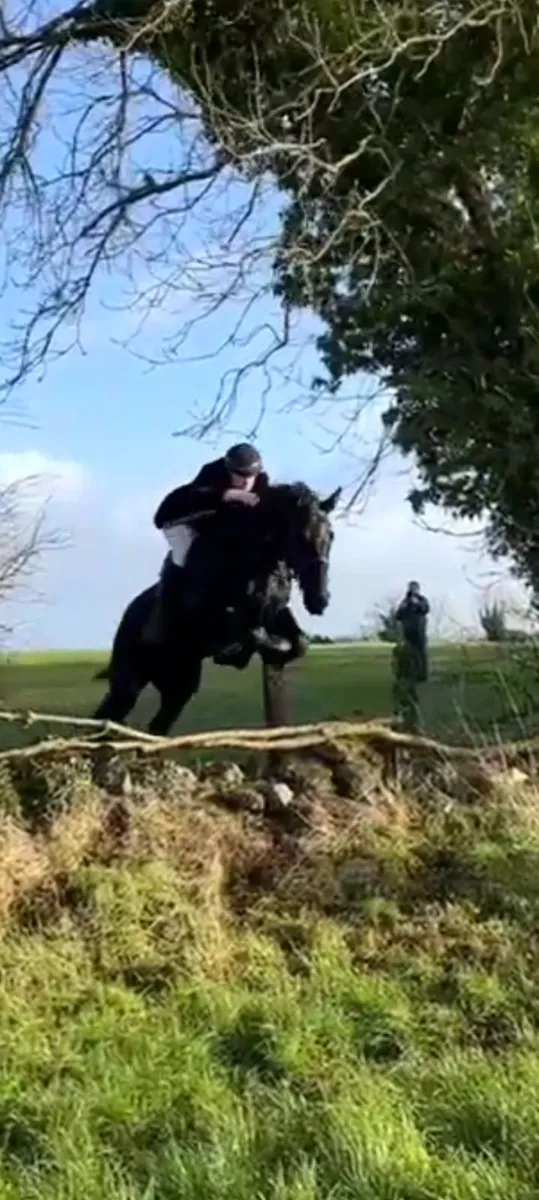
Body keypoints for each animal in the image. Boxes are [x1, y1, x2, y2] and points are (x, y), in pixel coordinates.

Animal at [93, 481, 340, 735]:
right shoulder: (217, 624)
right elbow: (252, 633)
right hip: (129, 681)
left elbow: (299, 642)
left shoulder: (275, 612)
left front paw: (273, 651)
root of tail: (127, 614)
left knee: (157, 725)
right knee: (108, 713)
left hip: (178, 684)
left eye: (331, 536)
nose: (320, 600)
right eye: (301, 536)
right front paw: (240, 654)